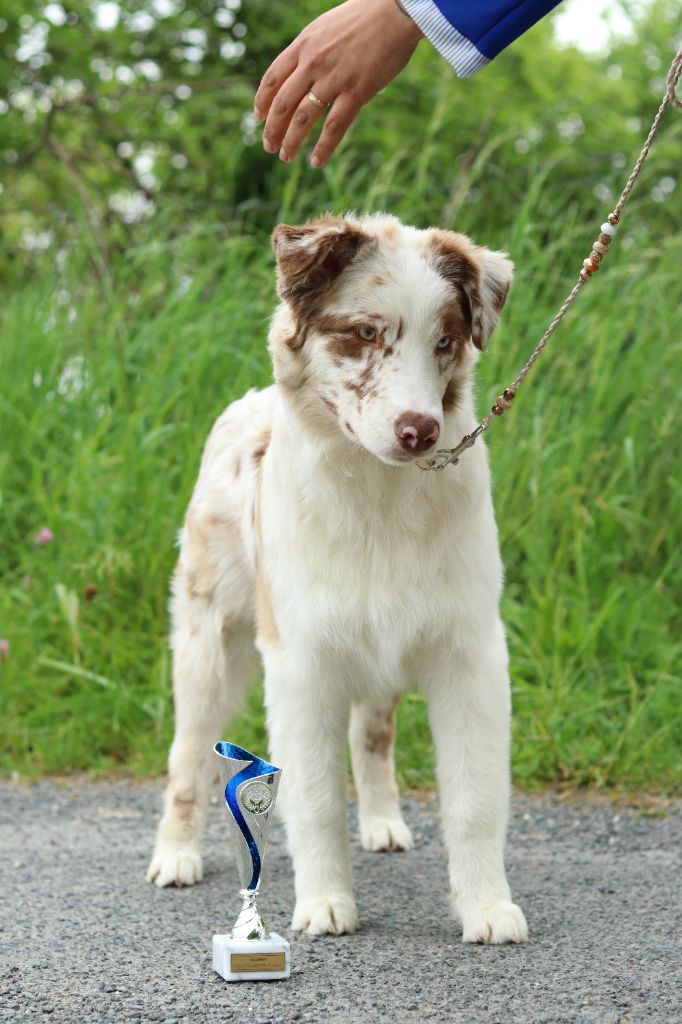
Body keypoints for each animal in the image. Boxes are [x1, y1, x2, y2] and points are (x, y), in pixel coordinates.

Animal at [147, 214, 524, 942]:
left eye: (444, 341)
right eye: (366, 334)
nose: (419, 430)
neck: (380, 499)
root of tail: (248, 404)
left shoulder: (469, 653)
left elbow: (475, 795)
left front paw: (488, 907)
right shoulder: (303, 659)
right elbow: (315, 796)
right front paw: (324, 903)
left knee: (371, 734)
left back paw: (382, 822)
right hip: (210, 639)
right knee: (189, 753)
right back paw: (174, 854)